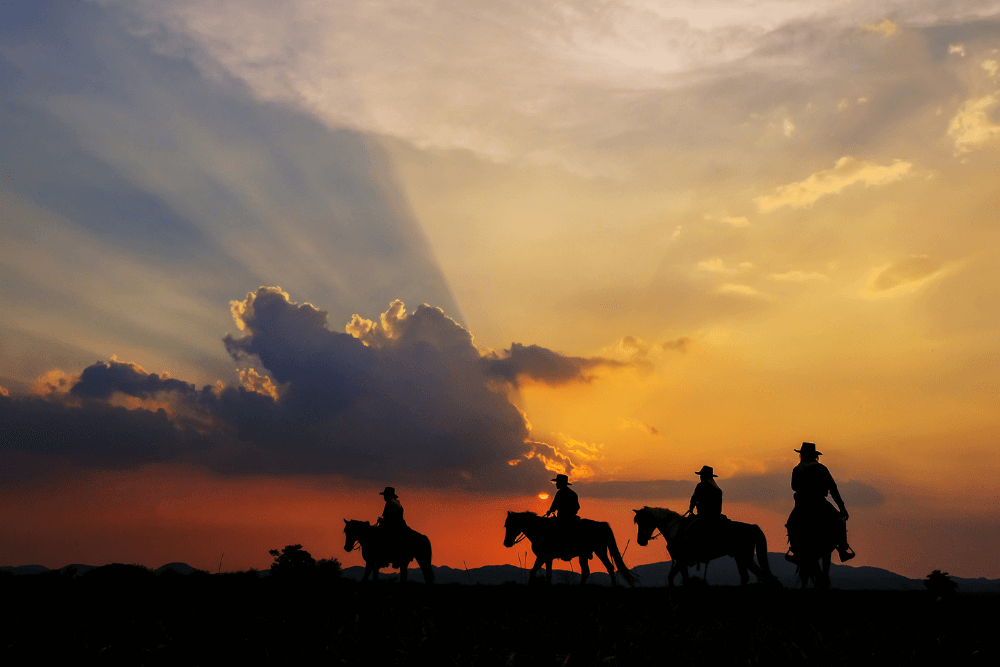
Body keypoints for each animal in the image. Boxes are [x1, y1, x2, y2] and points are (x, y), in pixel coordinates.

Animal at [504, 512, 636, 584]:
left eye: (510, 525)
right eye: (506, 525)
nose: (506, 543)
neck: (540, 530)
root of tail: (602, 525)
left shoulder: (543, 556)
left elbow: (539, 573)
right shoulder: (546, 558)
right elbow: (542, 573)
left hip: (599, 551)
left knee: (607, 567)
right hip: (586, 554)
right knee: (591, 571)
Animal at [632, 508, 780, 588]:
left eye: (645, 521)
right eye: (638, 522)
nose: (640, 541)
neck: (675, 529)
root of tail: (752, 527)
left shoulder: (681, 561)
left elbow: (674, 577)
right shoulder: (681, 562)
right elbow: (679, 578)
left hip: (745, 557)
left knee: (761, 576)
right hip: (741, 558)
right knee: (747, 577)